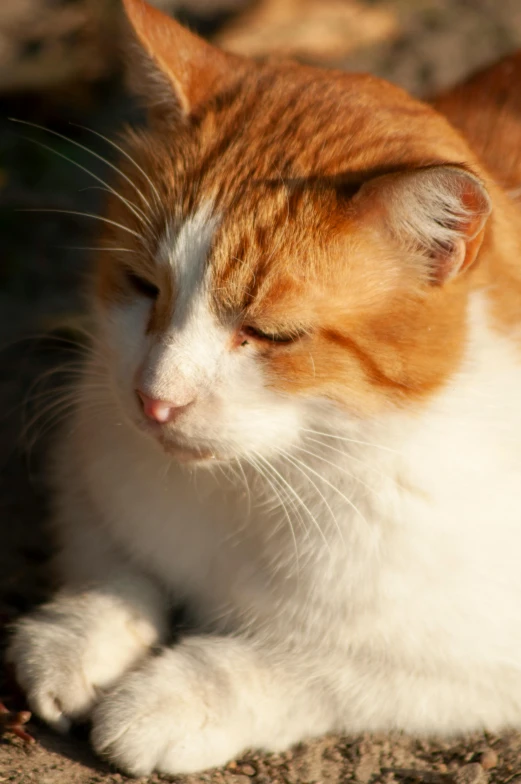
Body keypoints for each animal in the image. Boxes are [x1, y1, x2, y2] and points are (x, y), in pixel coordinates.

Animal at [8, 0, 521, 776]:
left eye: (269, 334)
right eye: (143, 285)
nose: (155, 399)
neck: (257, 481)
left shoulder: (465, 664)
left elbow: (310, 666)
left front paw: (173, 697)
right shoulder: (91, 470)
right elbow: (114, 562)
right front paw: (79, 635)